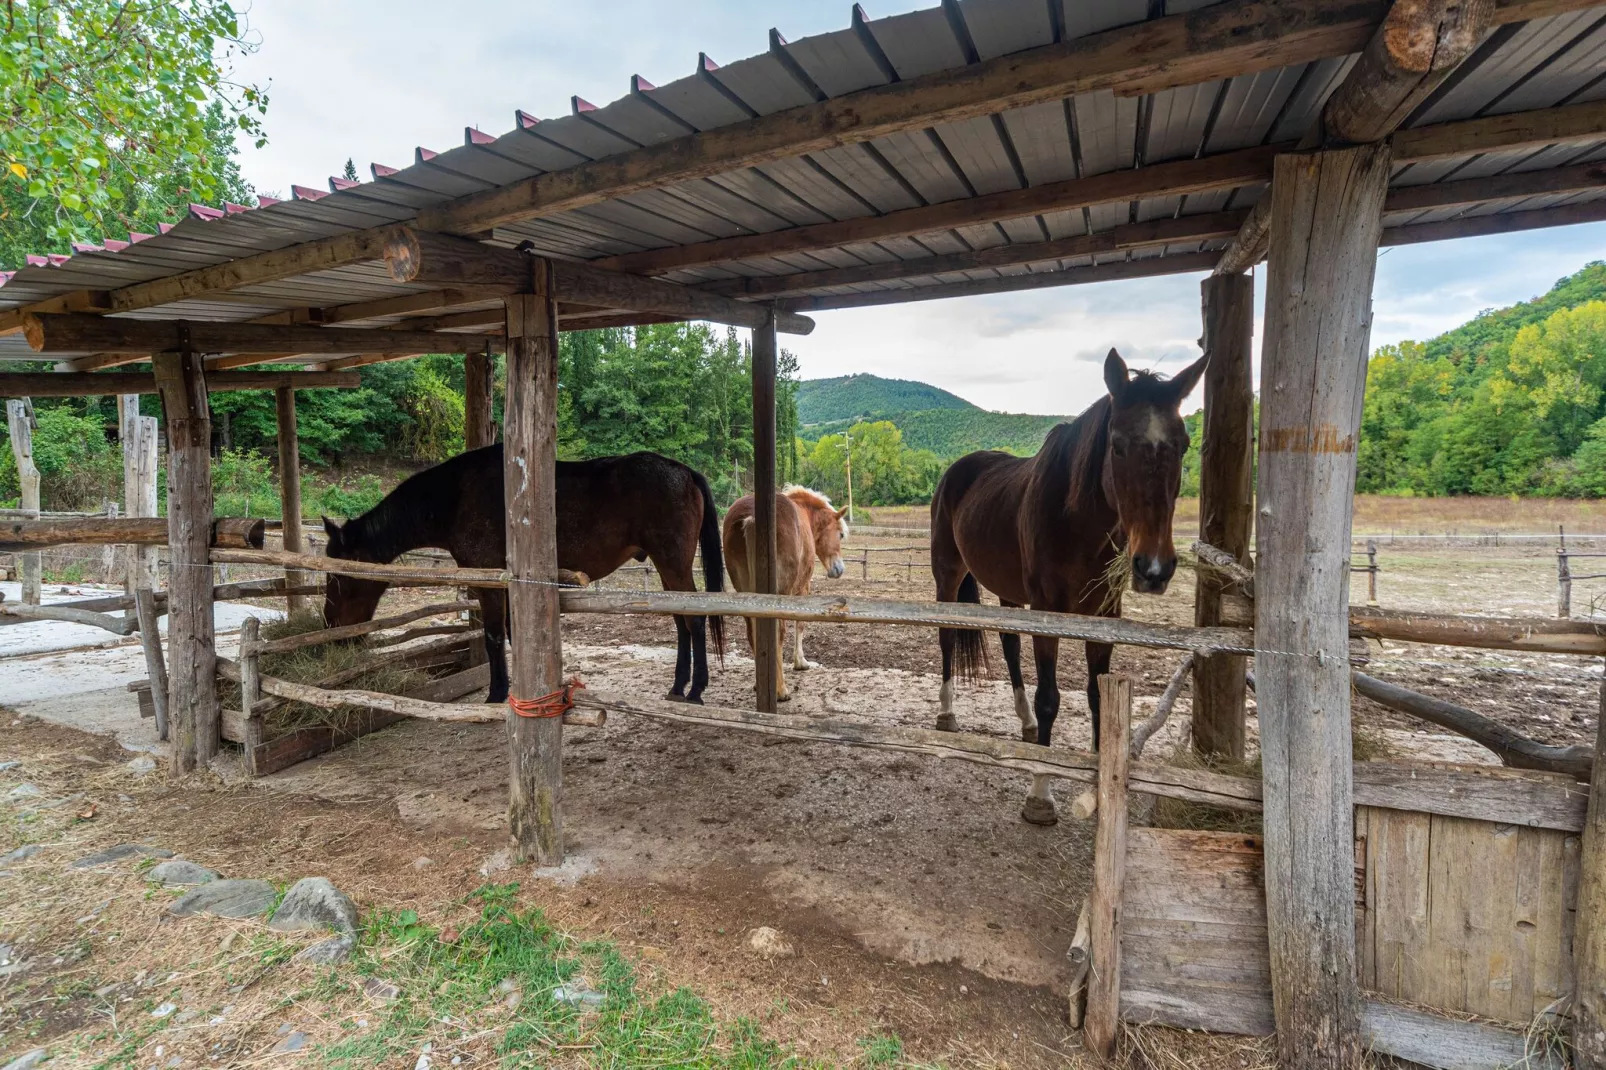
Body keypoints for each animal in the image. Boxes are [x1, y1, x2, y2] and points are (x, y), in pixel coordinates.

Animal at [322, 446, 725, 703]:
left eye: (337, 576)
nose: (331, 628)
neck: (455, 499)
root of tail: (685, 472)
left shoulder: (489, 583)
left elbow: (494, 637)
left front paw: (497, 693)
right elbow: (515, 636)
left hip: (673, 562)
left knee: (695, 621)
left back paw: (696, 690)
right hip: (666, 567)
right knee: (681, 621)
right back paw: (678, 686)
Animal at [725, 481, 854, 700]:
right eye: (841, 534)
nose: (839, 569)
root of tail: (751, 517)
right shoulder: (803, 588)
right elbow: (800, 624)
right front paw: (800, 662)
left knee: (752, 633)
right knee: (778, 632)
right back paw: (781, 690)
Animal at [931, 345, 1207, 819]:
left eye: (1184, 444)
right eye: (1116, 445)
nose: (1154, 568)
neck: (1076, 521)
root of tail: (956, 471)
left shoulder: (1103, 617)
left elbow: (1098, 695)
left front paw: (1097, 776)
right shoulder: (1048, 611)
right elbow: (1051, 698)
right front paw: (1040, 793)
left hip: (1008, 592)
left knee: (1009, 646)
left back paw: (1024, 724)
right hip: (948, 576)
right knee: (949, 638)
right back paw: (947, 714)